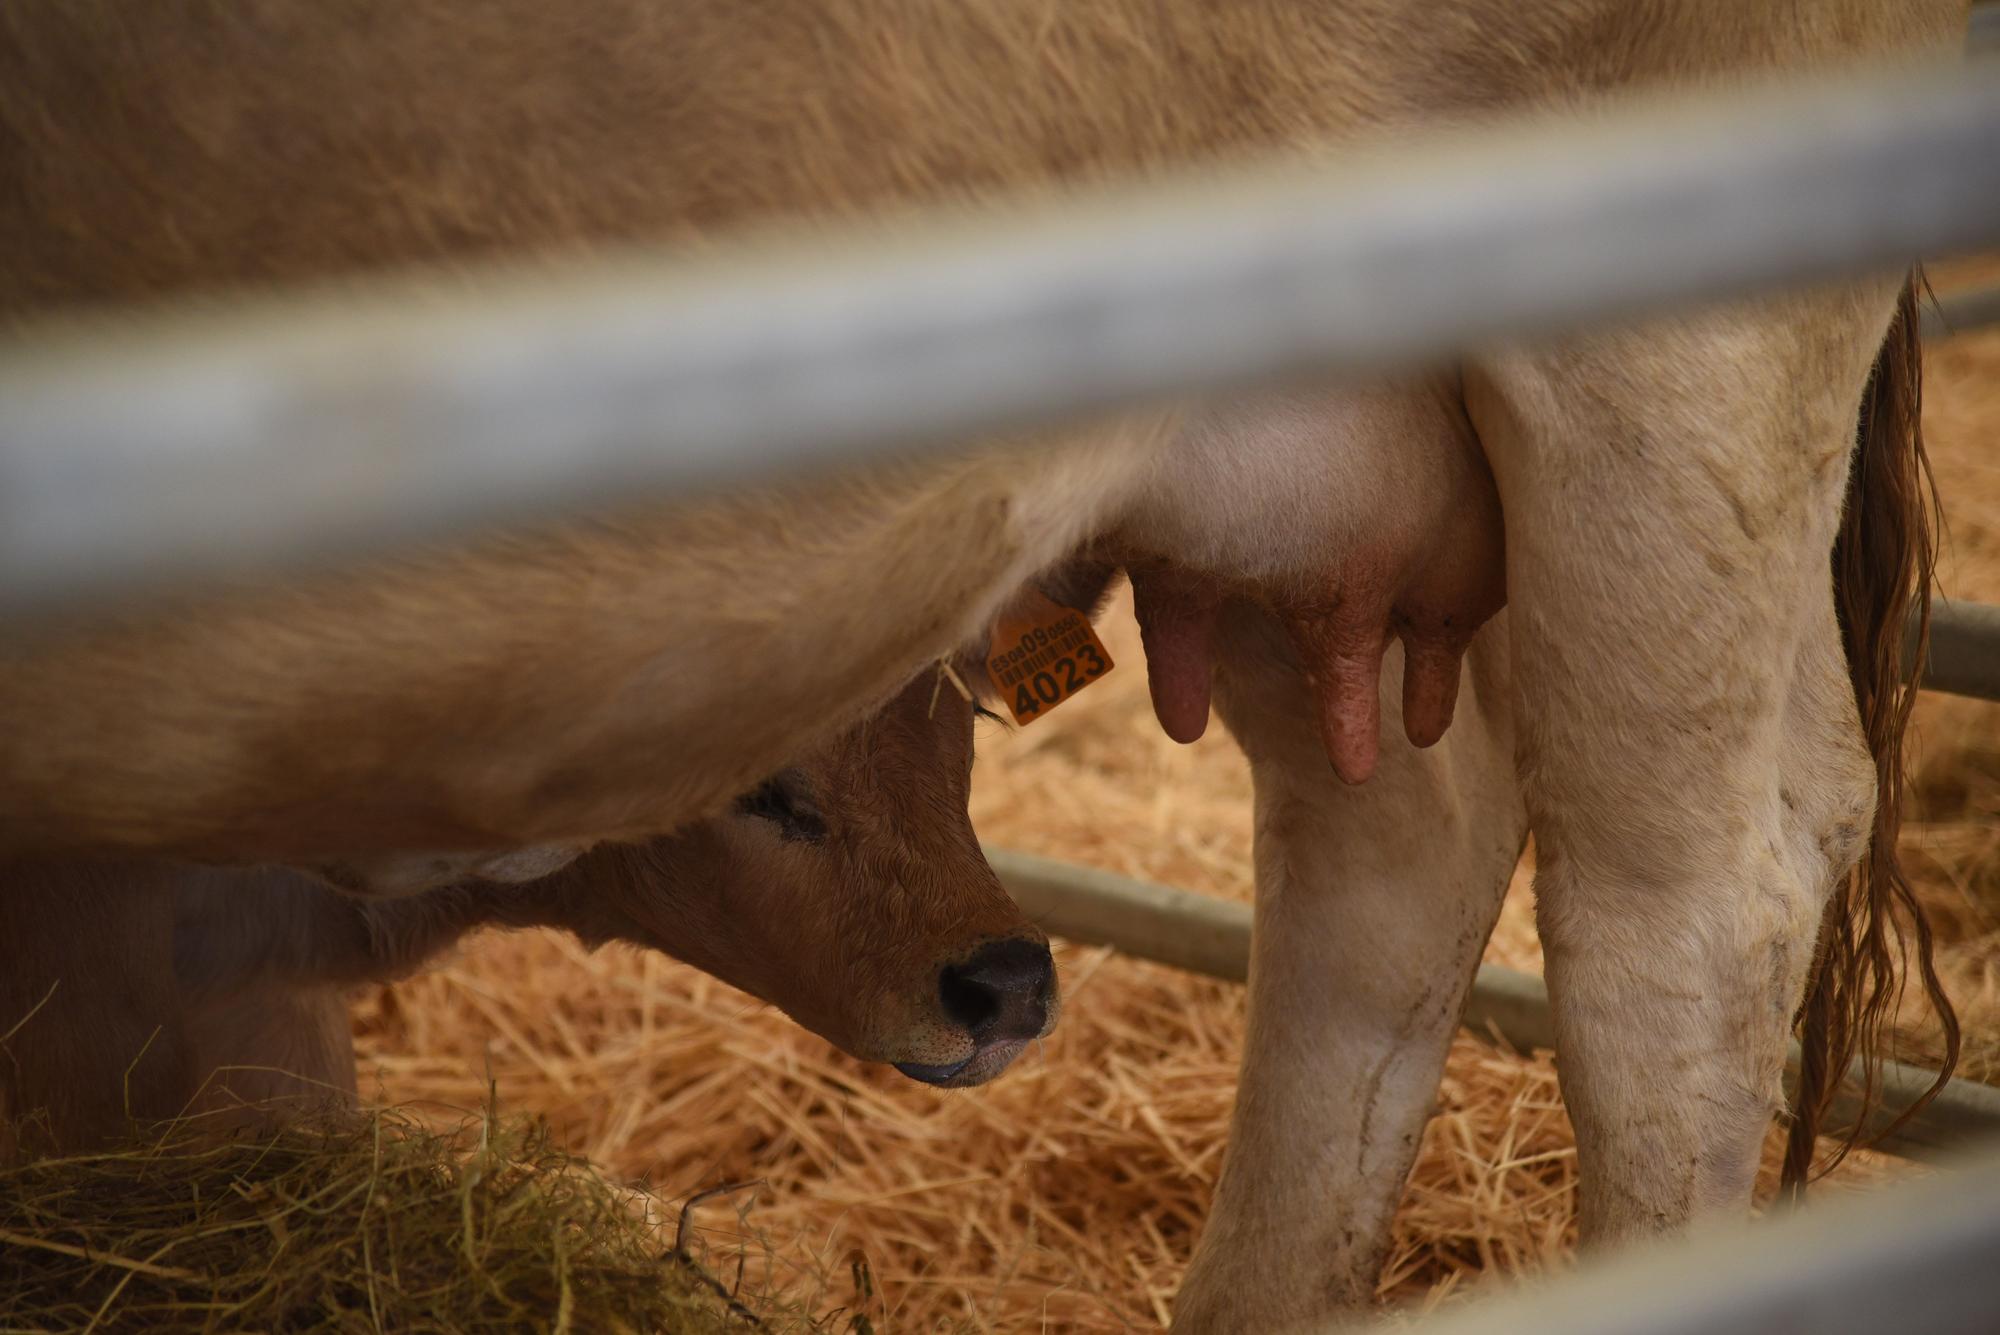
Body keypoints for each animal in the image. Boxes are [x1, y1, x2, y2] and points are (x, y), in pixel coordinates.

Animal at [0, 5, 1968, 1327]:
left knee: (1687, 914)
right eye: (768, 787)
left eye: (951, 755)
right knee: (1390, 852)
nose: (1005, 980)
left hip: (1671, 357)